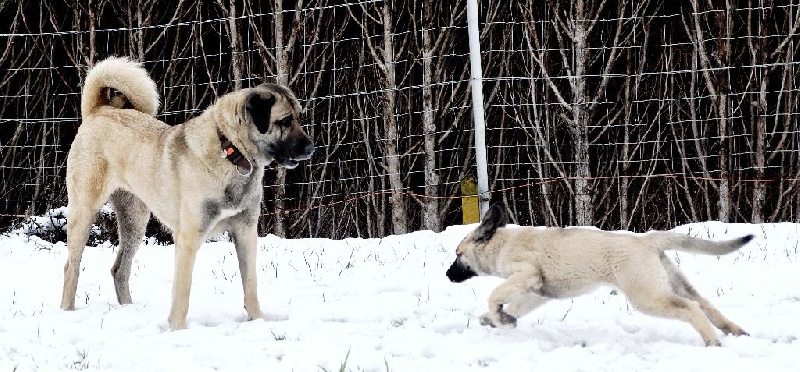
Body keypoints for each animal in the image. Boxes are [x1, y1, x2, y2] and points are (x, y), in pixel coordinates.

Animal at [61, 56, 316, 330]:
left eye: (298, 118)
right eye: (285, 121)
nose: (311, 148)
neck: (231, 151)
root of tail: (98, 111)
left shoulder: (245, 231)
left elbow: (250, 284)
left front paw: (257, 321)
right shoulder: (188, 238)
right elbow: (183, 291)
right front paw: (177, 329)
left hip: (134, 221)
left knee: (120, 269)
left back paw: (129, 310)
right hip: (84, 212)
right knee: (71, 266)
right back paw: (66, 311)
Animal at [446, 203, 752, 346]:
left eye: (458, 255)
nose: (448, 275)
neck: (500, 244)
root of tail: (647, 240)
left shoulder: (527, 275)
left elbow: (494, 295)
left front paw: (499, 318)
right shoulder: (539, 292)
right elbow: (516, 305)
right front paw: (499, 318)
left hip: (647, 295)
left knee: (690, 308)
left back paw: (713, 341)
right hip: (671, 283)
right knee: (705, 304)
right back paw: (735, 331)